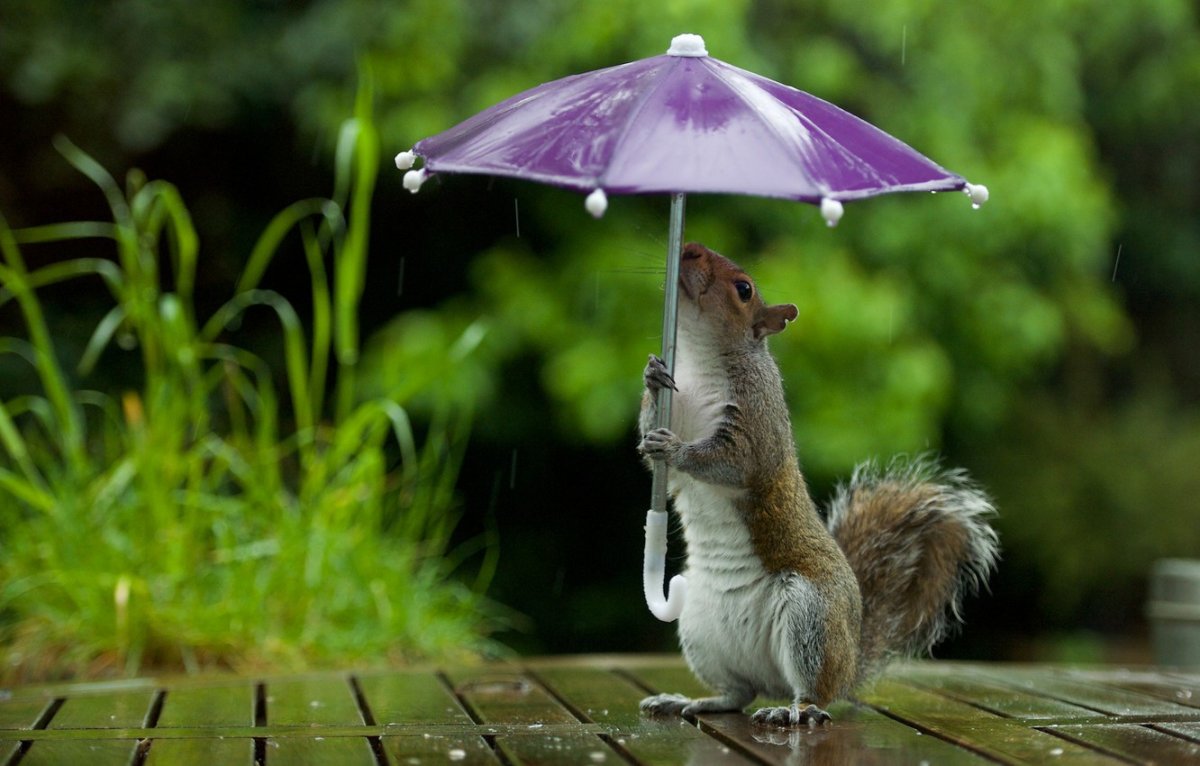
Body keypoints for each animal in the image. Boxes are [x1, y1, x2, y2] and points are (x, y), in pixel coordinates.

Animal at [638, 242, 999, 727]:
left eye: (744, 289)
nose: (690, 249)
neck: (700, 358)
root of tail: (849, 663)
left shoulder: (759, 420)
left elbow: (735, 463)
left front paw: (677, 449)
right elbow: (650, 444)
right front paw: (652, 376)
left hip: (811, 615)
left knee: (815, 691)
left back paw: (796, 709)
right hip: (699, 626)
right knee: (738, 692)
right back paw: (691, 701)